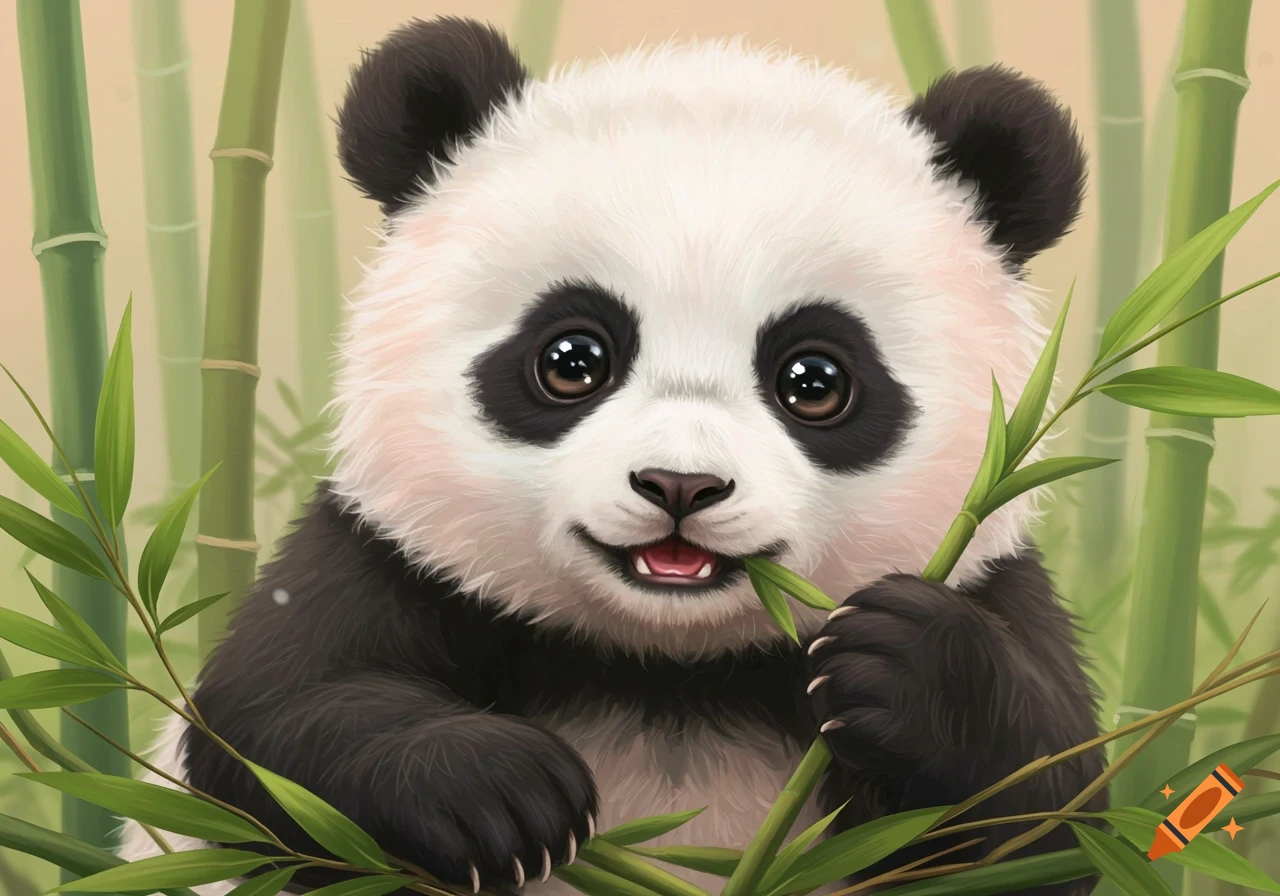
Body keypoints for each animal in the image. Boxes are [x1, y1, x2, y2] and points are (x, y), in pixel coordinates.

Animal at [119, 15, 1108, 896]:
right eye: (572, 360)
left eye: (815, 380)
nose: (681, 484)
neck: (669, 675)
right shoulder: (388, 554)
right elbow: (269, 726)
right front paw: (498, 795)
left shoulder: (994, 584)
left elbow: (1044, 813)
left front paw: (905, 666)